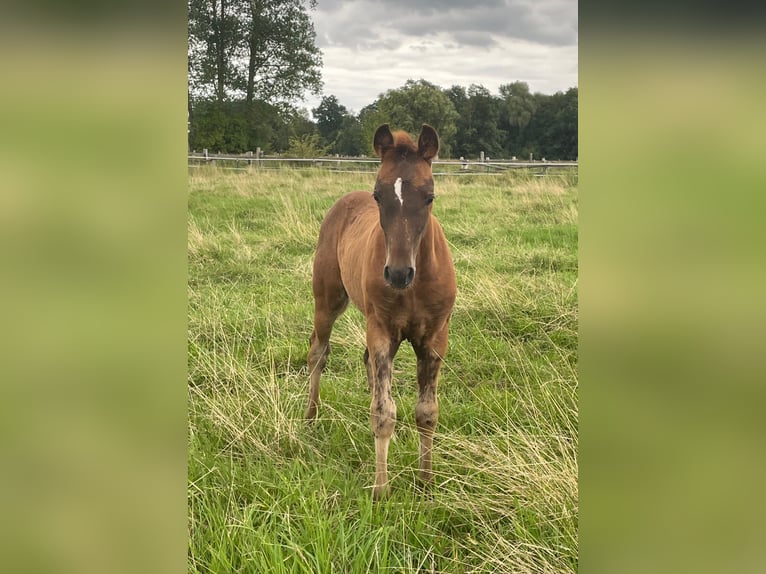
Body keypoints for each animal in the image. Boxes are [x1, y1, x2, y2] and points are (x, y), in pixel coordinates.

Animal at [306, 125, 460, 500]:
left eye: (430, 196)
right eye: (378, 195)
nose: (398, 274)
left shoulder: (435, 339)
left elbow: (426, 412)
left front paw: (426, 483)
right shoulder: (383, 330)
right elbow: (383, 413)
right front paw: (381, 490)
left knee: (366, 365)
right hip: (328, 299)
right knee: (318, 351)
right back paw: (310, 419)